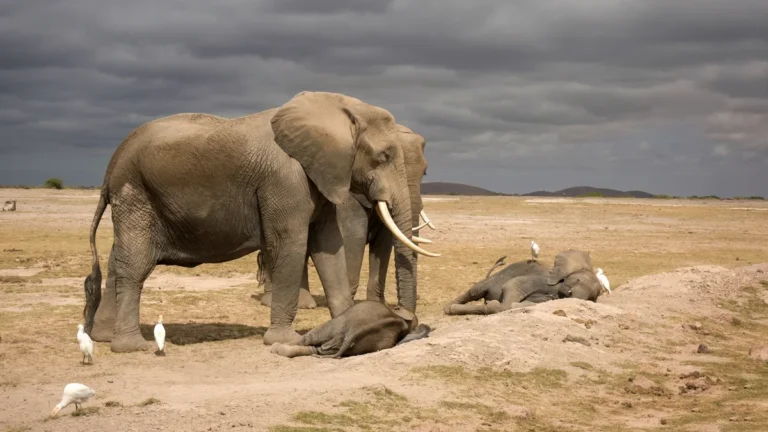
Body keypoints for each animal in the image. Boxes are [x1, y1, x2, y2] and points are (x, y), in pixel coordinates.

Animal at [258, 124, 436, 309]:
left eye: (424, 172)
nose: (400, 308)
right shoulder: (346, 198)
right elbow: (354, 239)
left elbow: (383, 244)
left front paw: (377, 307)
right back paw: (276, 302)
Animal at [443, 250, 602, 315]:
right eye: (577, 280)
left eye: (592, 296)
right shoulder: (541, 279)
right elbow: (512, 285)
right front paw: (497, 304)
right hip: (495, 277)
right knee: (475, 291)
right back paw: (448, 308)